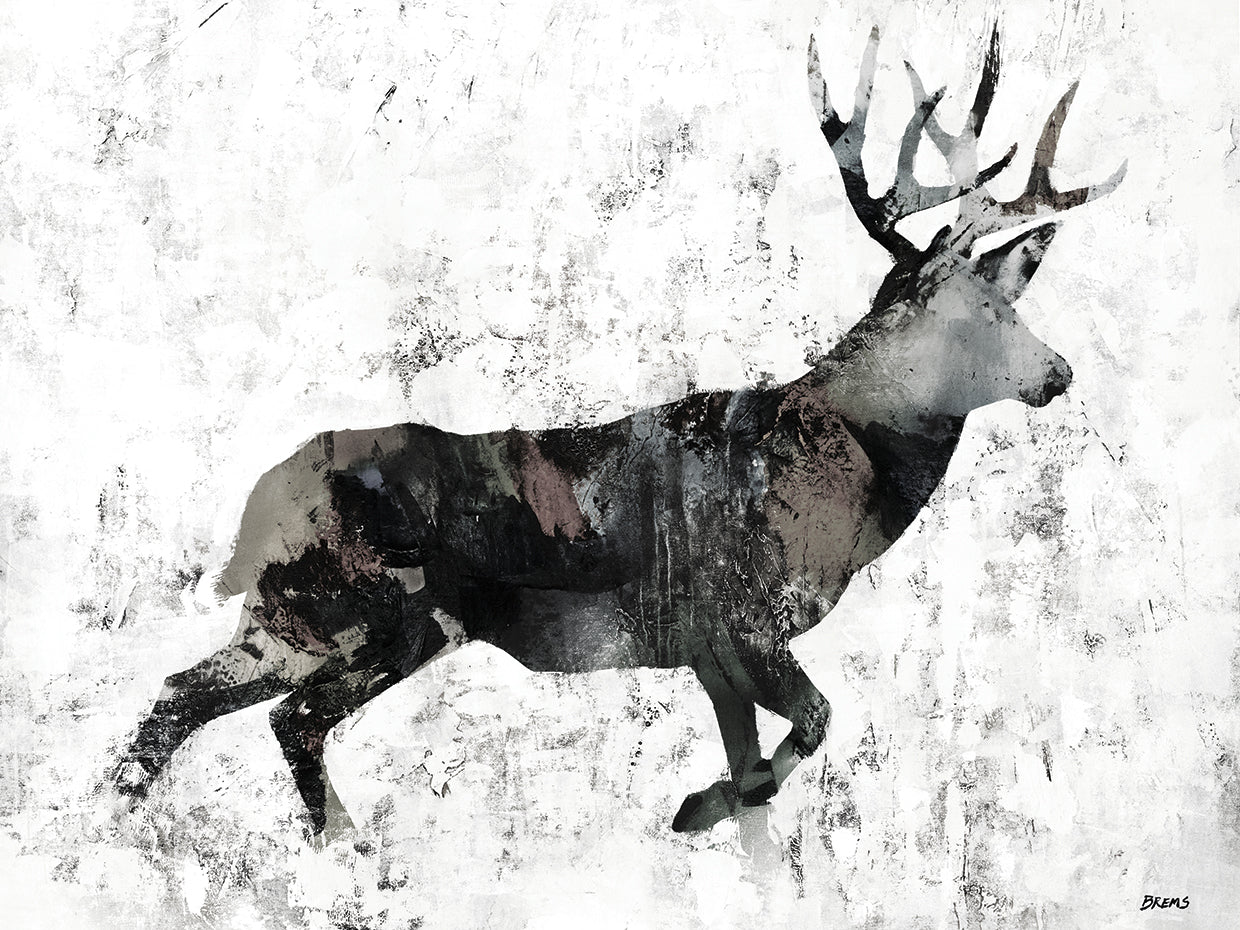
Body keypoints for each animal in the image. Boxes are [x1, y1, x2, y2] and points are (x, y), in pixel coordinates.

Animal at [113, 27, 1123, 839]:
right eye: (980, 311)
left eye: (1012, 298)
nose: (1059, 373)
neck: (835, 481)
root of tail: (257, 506)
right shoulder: (735, 615)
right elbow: (817, 722)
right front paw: (694, 808)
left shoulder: (712, 656)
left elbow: (769, 774)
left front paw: (724, 818)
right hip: (360, 611)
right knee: (255, 712)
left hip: (332, 622)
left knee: (205, 705)